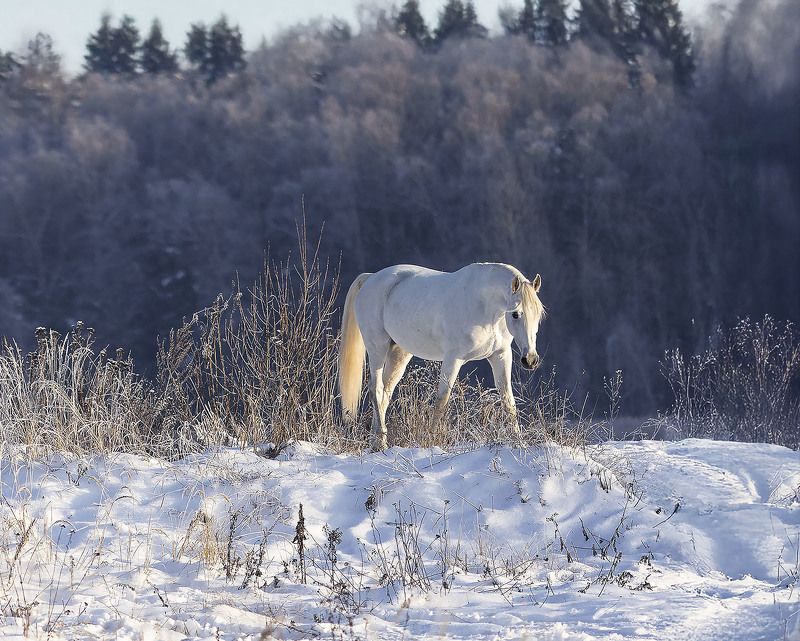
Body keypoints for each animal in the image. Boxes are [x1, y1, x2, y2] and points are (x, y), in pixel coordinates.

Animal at [337, 263, 545, 450]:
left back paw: (376, 442)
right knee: (377, 389)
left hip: (399, 353)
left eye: (539, 315)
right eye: (516, 314)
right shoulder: (453, 359)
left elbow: (508, 401)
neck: (484, 306)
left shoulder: (501, 356)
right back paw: (381, 442)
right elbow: (441, 402)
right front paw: (431, 441)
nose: (530, 360)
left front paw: (518, 442)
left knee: (385, 394)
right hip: (377, 348)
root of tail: (370, 279)